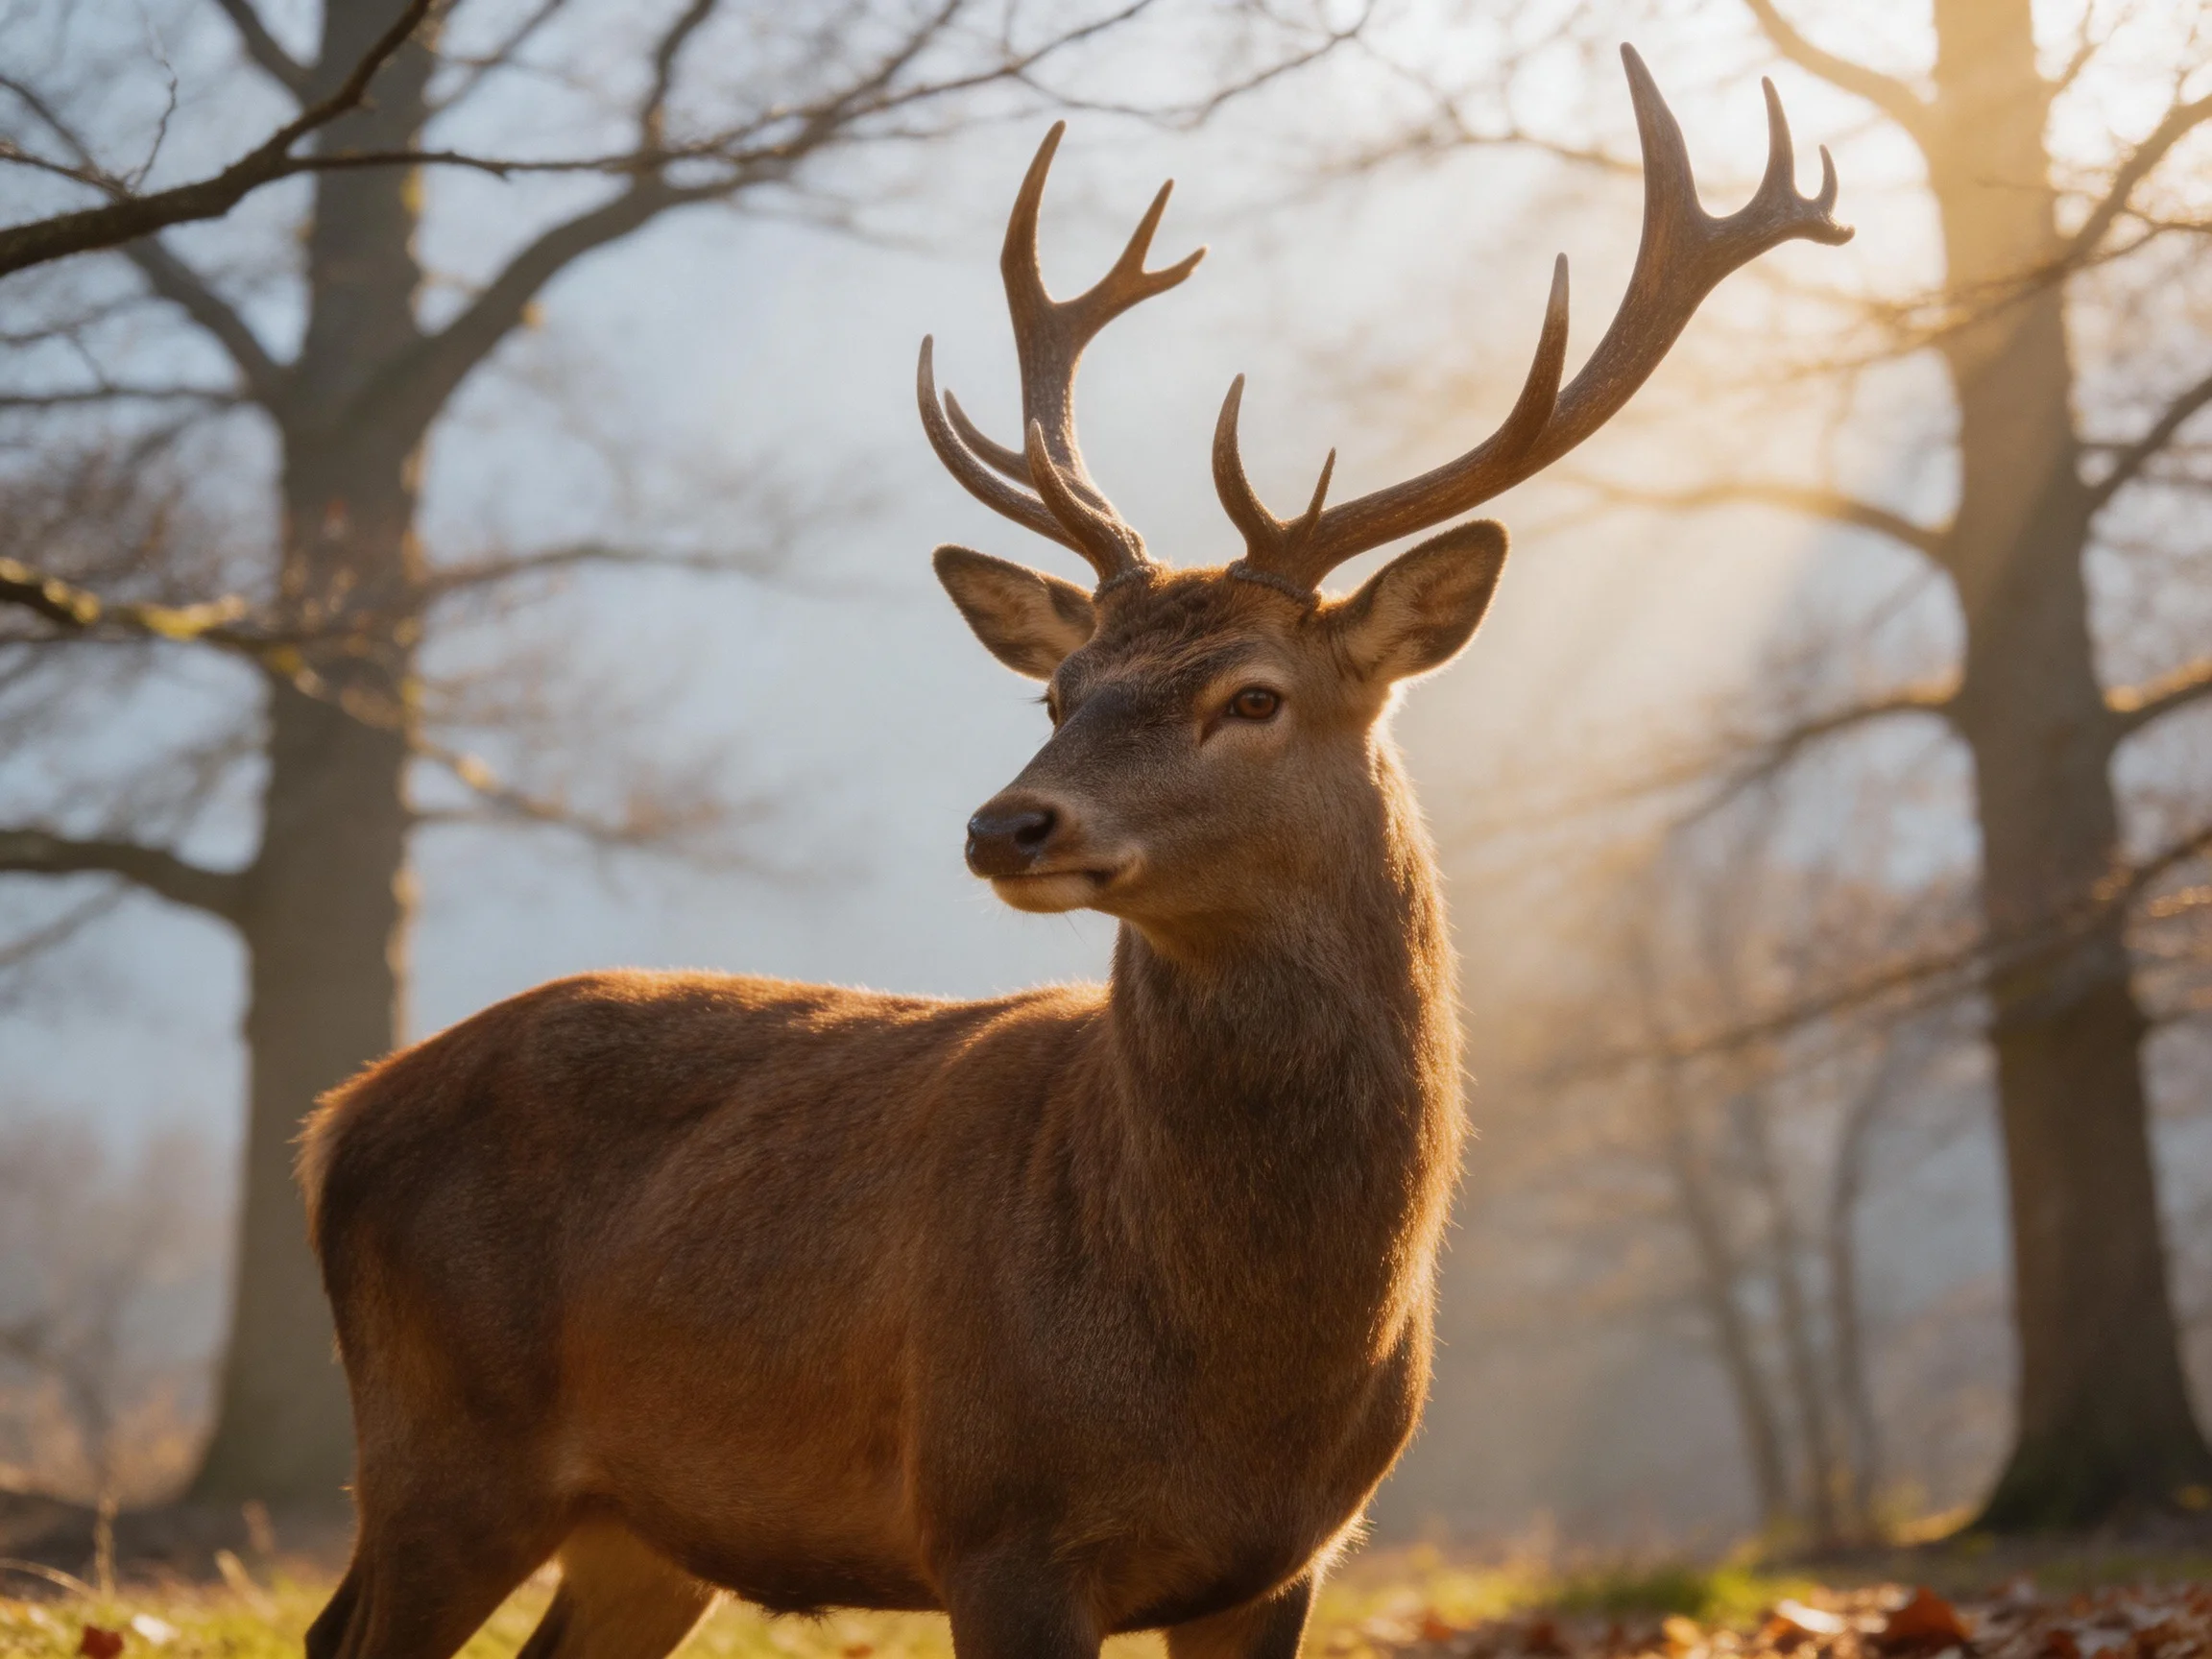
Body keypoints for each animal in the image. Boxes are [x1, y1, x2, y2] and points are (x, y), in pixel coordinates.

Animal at [299, 47, 1846, 1659]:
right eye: (1061, 691)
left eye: (1253, 696)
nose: (1008, 823)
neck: (1240, 1369)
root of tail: (337, 1120)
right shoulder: (994, 1520)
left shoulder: (1287, 1558)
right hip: (441, 1445)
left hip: (641, 1526)